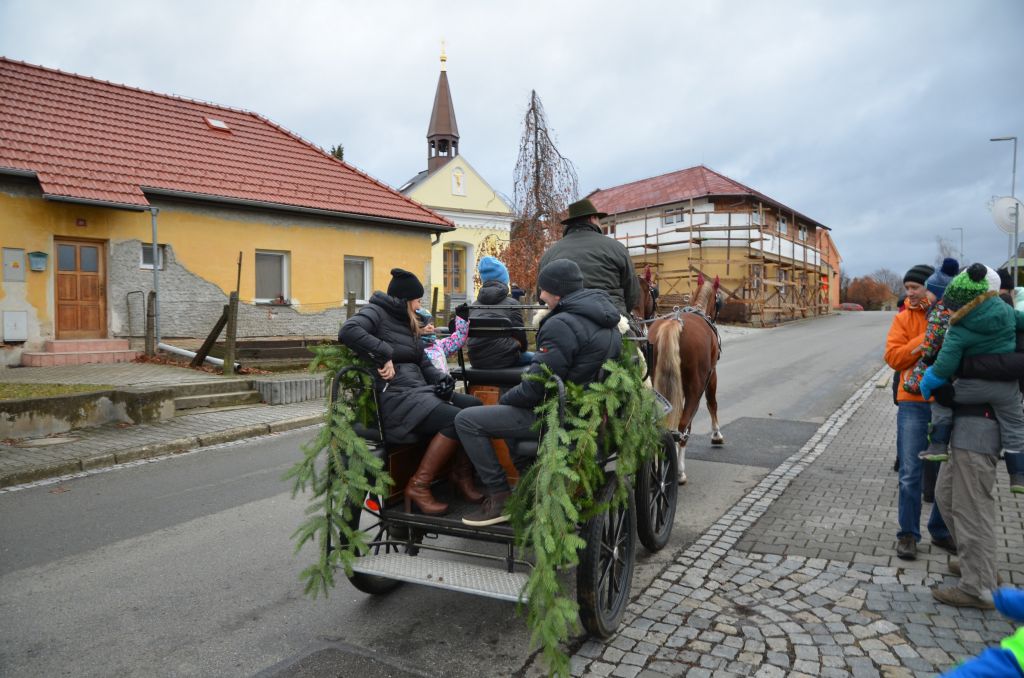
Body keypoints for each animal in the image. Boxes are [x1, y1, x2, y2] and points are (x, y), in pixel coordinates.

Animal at [647, 274, 723, 485]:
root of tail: (674, 323)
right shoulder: (711, 375)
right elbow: (712, 403)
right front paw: (716, 434)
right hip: (694, 388)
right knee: (682, 425)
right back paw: (679, 471)